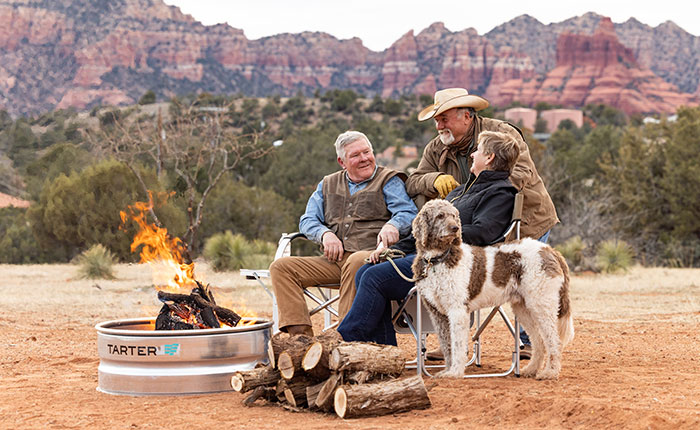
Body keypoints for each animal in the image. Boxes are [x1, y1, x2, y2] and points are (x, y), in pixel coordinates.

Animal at [412, 200, 572, 378]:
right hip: (524, 308)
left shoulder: (457, 311)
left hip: (541, 304)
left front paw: (455, 373)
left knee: (553, 341)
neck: (437, 259)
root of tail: (550, 250)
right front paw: (447, 370)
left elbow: (457, 345)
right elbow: (447, 345)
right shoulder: (437, 313)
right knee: (539, 341)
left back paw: (550, 372)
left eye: (454, 215)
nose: (455, 228)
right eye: (440, 215)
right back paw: (531, 370)